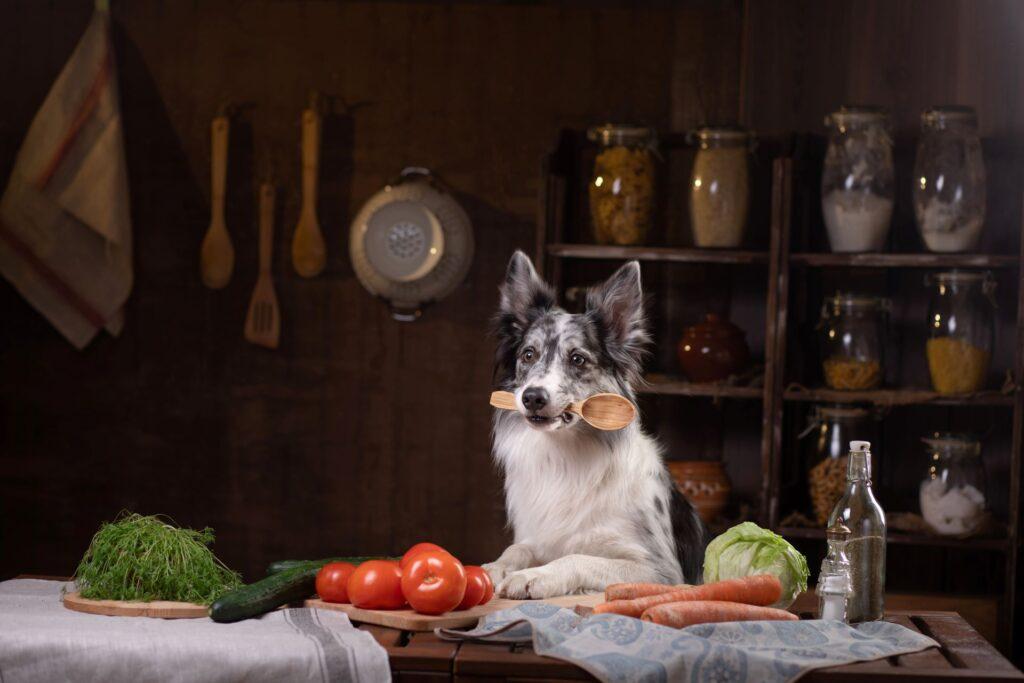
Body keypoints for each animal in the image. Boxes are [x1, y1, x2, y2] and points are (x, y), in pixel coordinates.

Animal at [483, 250, 708, 598]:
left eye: (578, 359)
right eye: (528, 355)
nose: (532, 397)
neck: (565, 456)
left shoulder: (661, 571)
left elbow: (577, 557)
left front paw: (534, 576)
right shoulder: (538, 536)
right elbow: (517, 549)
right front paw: (496, 568)